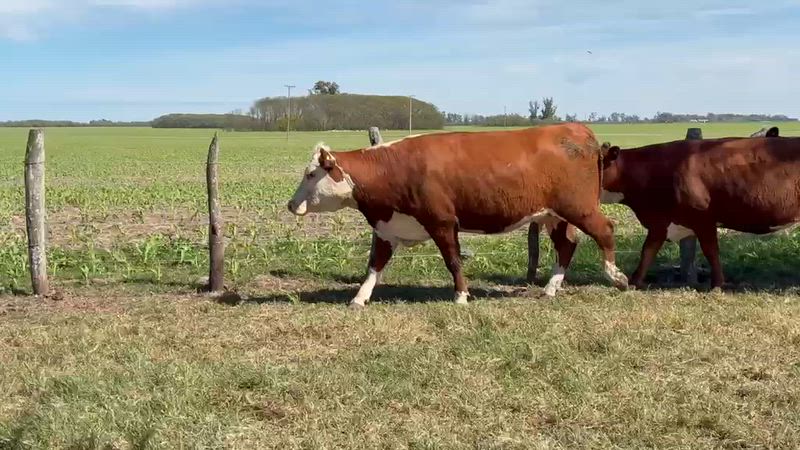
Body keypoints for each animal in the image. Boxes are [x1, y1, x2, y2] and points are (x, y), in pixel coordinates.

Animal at [287, 124, 629, 308]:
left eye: (311, 173)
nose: (291, 204)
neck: (392, 169)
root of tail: (576, 128)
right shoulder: (387, 228)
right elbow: (374, 266)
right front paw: (359, 298)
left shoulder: (442, 222)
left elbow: (453, 261)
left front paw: (461, 296)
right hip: (551, 215)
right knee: (567, 246)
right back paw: (550, 289)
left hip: (579, 207)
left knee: (605, 231)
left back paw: (617, 277)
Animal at [601, 136, 800, 290]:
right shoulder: (661, 221)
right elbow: (648, 251)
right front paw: (633, 281)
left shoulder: (703, 219)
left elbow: (711, 251)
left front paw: (717, 284)